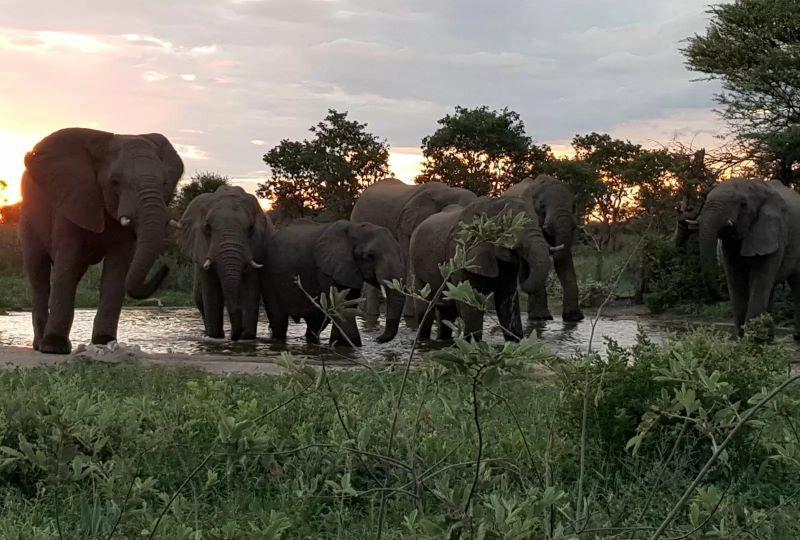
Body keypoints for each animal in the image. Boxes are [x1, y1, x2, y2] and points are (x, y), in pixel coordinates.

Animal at [20, 127, 183, 354]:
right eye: (114, 182)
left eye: (165, 183)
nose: (166, 267)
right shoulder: (71, 200)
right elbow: (67, 267)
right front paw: (54, 347)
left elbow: (117, 271)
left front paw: (105, 341)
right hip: (28, 217)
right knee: (39, 274)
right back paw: (39, 345)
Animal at [178, 186, 272, 341]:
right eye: (207, 228)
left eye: (251, 228)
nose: (235, 336)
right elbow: (211, 291)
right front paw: (215, 337)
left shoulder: (256, 247)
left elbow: (250, 286)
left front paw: (247, 337)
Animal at [261, 220, 405, 346]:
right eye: (369, 256)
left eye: (400, 252)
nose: (377, 339)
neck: (354, 228)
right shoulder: (327, 269)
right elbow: (342, 306)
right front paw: (349, 345)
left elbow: (348, 305)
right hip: (269, 278)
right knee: (278, 320)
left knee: (316, 323)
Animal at [409, 197, 552, 342]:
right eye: (509, 228)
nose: (524, 263)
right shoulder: (461, 252)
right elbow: (469, 300)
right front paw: (474, 342)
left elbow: (507, 301)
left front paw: (516, 341)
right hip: (416, 268)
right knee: (425, 311)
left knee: (447, 311)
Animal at [687, 178, 800, 337]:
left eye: (743, 205)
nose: (724, 295)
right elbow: (736, 280)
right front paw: (742, 338)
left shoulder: (775, 230)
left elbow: (758, 279)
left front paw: (752, 338)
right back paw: (769, 337)